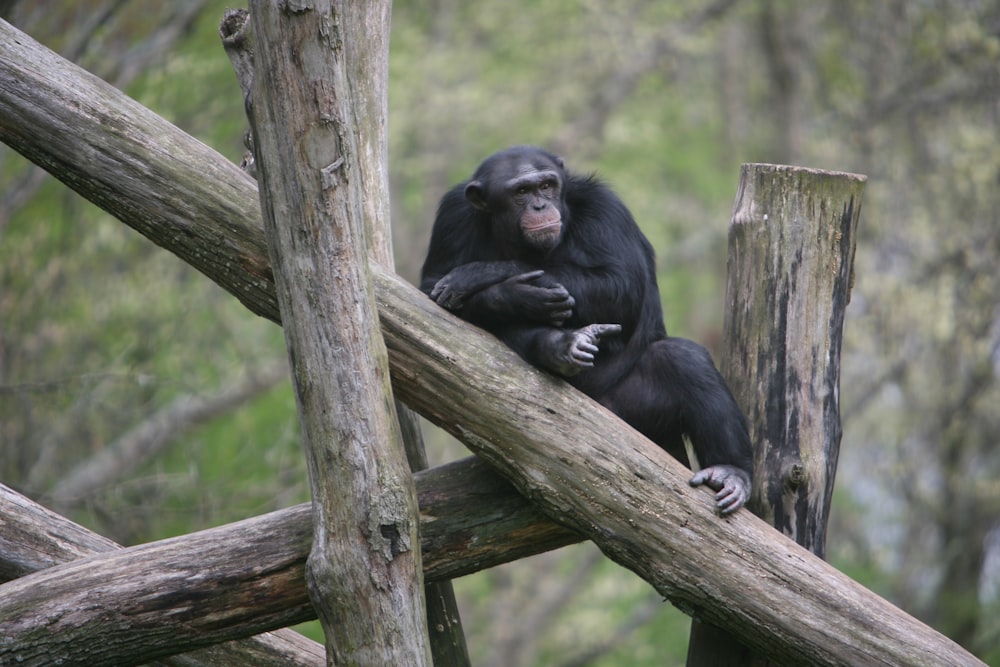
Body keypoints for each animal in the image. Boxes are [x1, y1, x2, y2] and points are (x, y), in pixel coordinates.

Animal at [418, 146, 752, 516]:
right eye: (520, 192)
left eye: (546, 185)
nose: (540, 206)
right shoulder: (453, 216)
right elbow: (431, 287)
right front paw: (513, 295)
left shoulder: (604, 207)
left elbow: (621, 281)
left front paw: (482, 274)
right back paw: (562, 346)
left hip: (635, 416)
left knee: (683, 358)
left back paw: (731, 471)